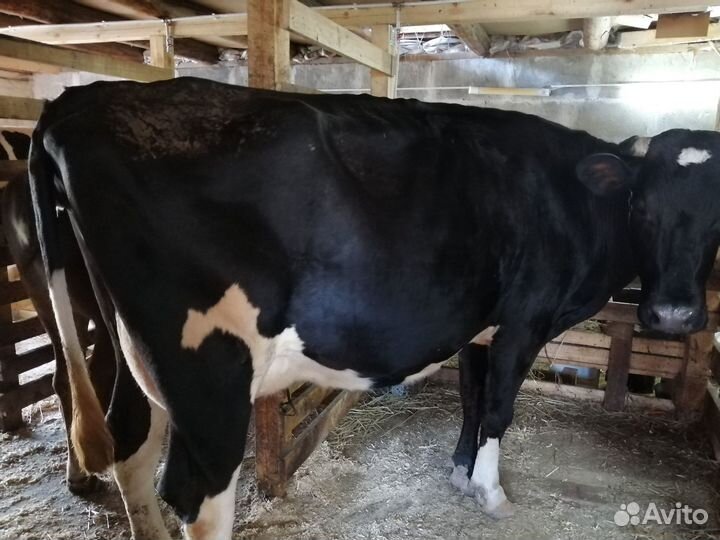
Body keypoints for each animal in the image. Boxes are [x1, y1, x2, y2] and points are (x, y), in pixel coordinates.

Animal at [27, 77, 719, 539]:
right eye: (642, 208)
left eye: (717, 216)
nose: (675, 317)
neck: (570, 197)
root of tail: (82, 99)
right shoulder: (524, 319)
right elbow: (498, 406)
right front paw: (491, 494)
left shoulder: (480, 326)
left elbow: (472, 398)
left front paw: (460, 474)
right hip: (208, 371)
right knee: (196, 490)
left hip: (128, 352)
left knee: (130, 449)